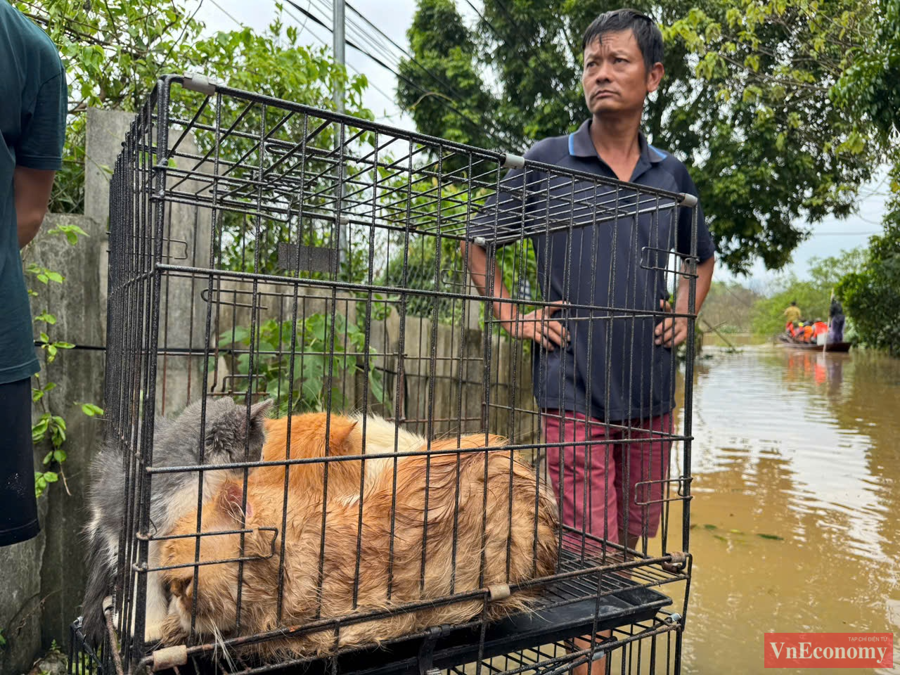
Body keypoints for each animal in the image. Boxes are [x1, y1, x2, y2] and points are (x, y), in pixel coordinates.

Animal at [82, 398, 272, 648]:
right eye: (260, 446)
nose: (265, 460)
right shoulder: (142, 528)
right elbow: (143, 578)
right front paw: (148, 626)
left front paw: (179, 616)